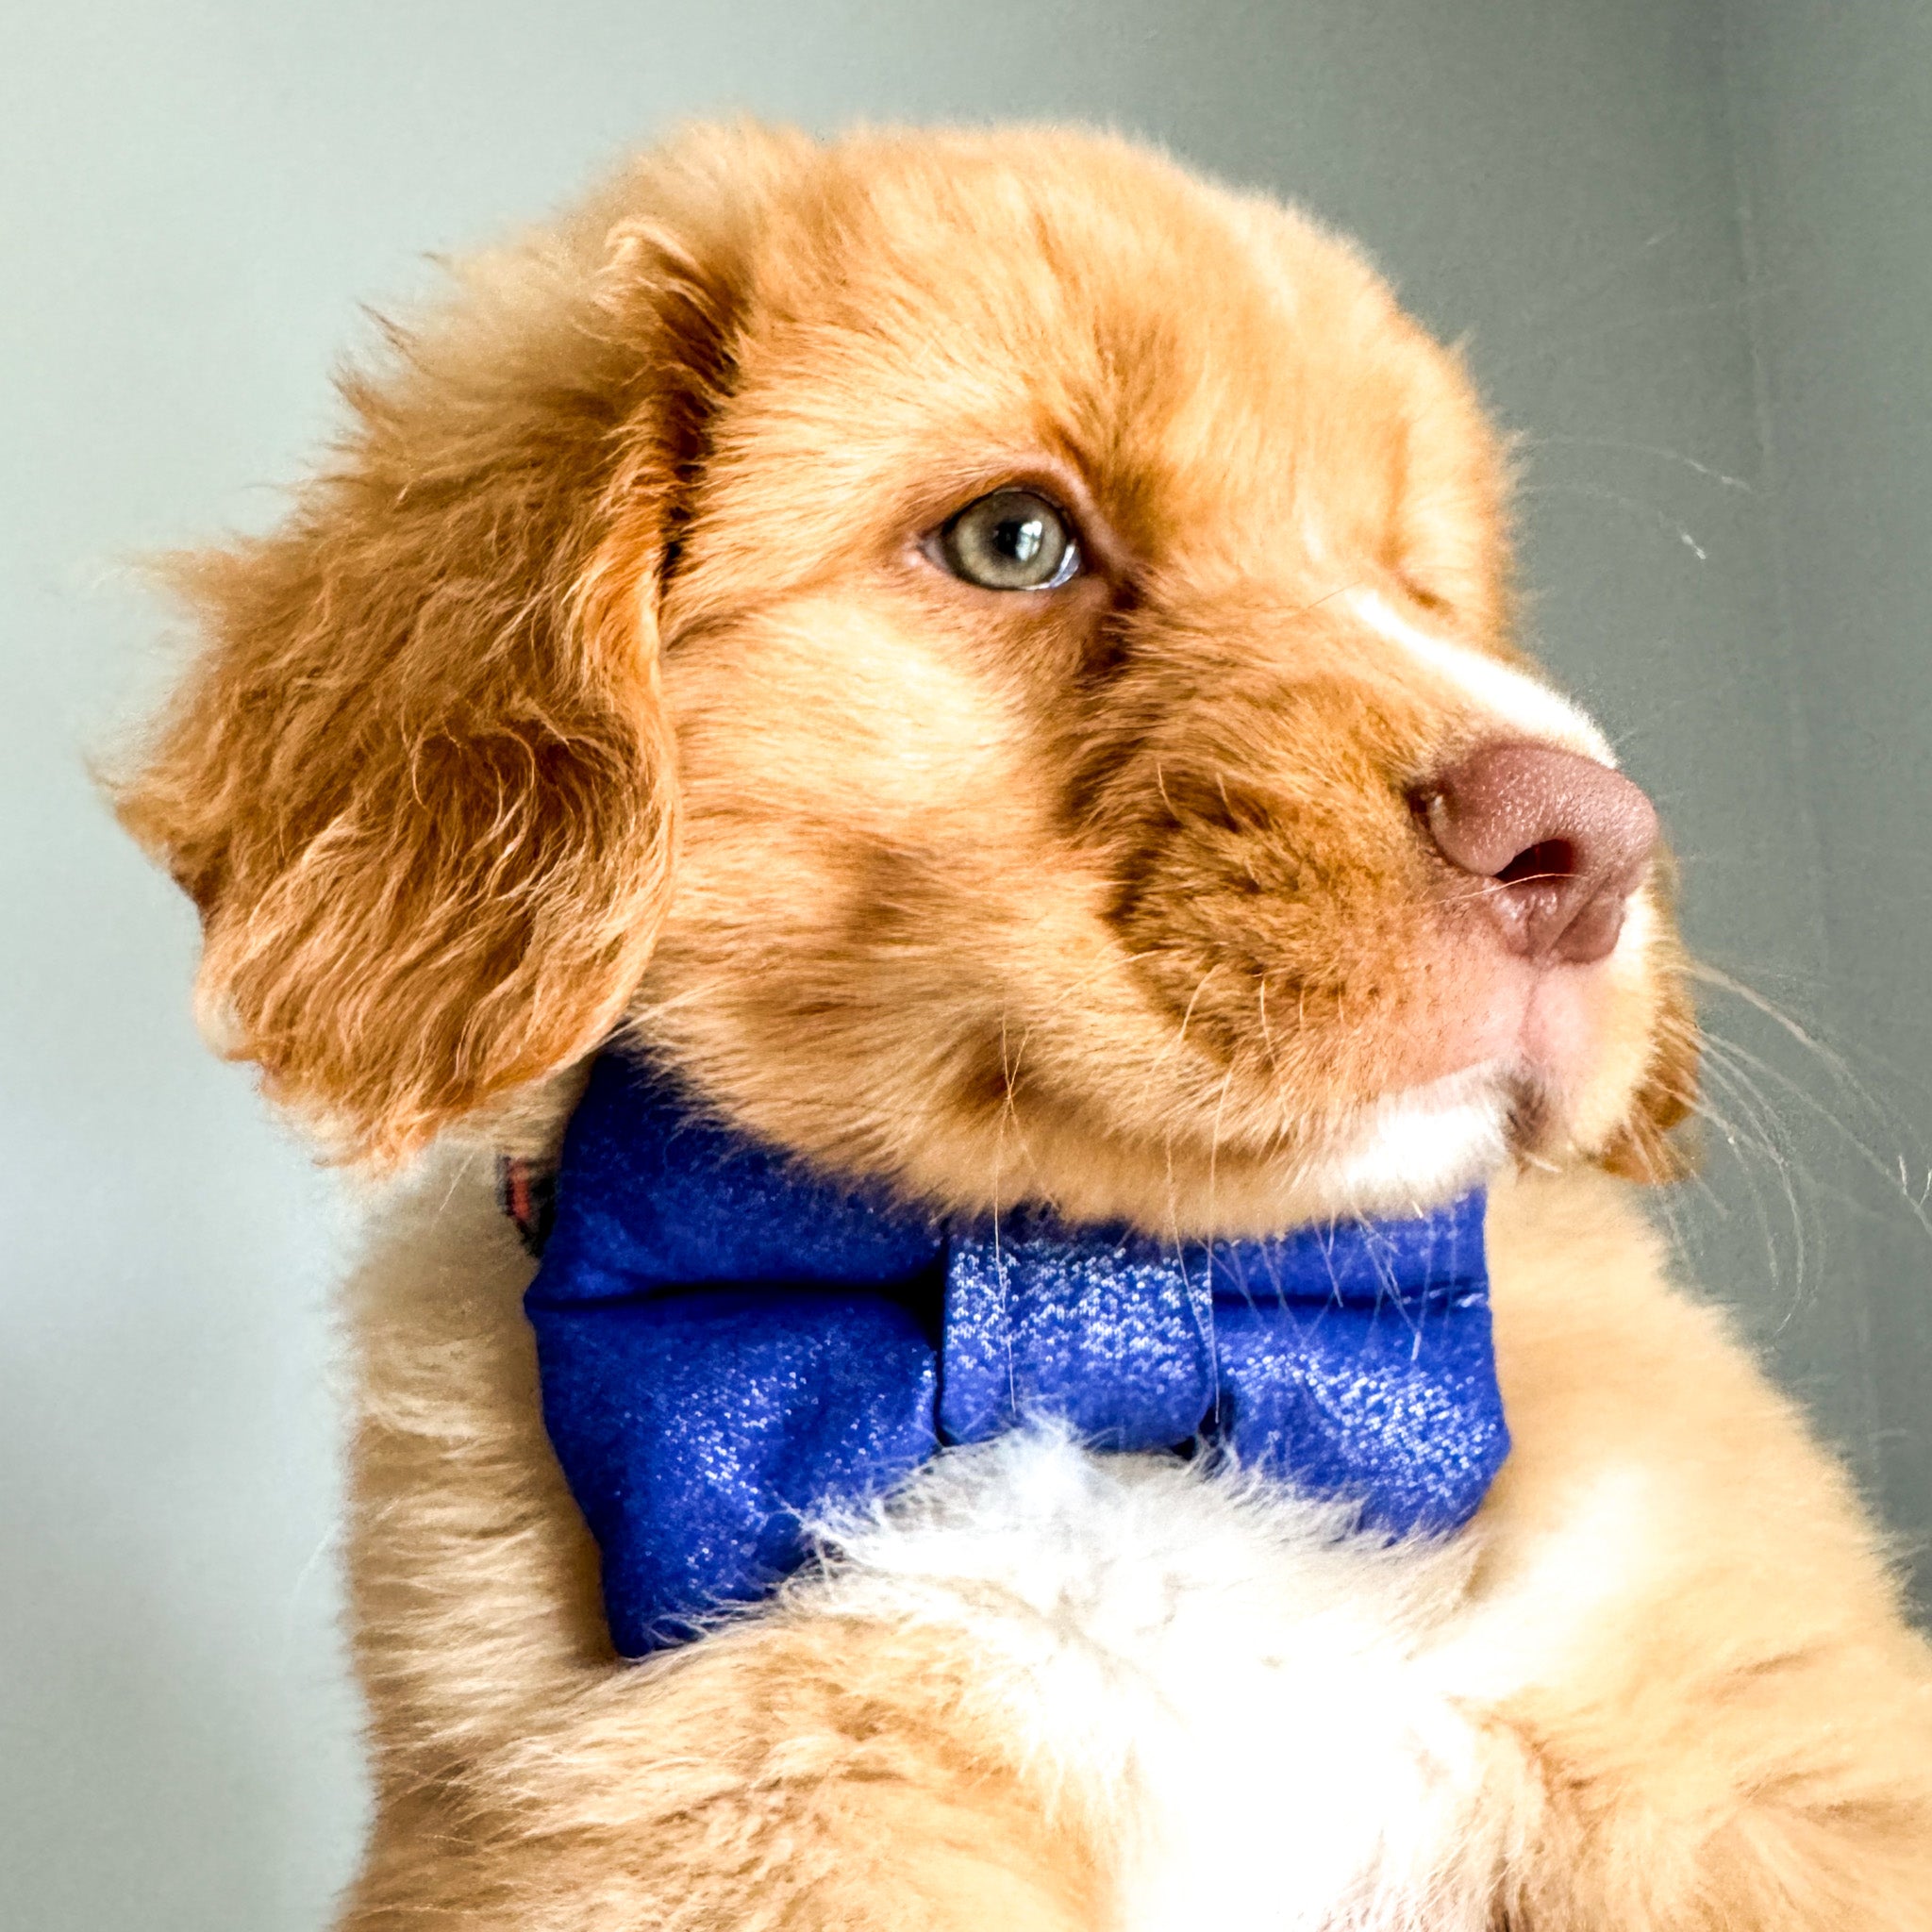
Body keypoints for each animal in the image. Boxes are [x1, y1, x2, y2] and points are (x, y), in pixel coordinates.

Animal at [116, 125, 1932, 1932]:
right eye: (1012, 539)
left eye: (1419, 590)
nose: (1594, 844)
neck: (1098, 1360)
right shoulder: (730, 1819)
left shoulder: (1763, 1757)